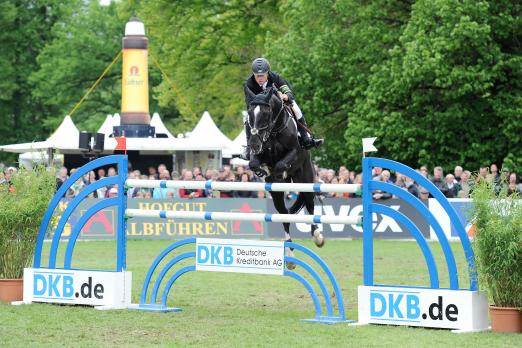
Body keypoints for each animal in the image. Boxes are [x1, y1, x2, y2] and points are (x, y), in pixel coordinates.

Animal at [244, 87, 320, 250]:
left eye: (266, 113)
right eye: (250, 114)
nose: (254, 144)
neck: (274, 130)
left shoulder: (294, 151)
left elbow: (280, 165)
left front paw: (280, 172)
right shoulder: (258, 154)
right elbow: (254, 164)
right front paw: (264, 171)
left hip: (305, 179)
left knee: (309, 204)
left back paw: (317, 236)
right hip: (276, 195)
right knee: (284, 214)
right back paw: (289, 248)